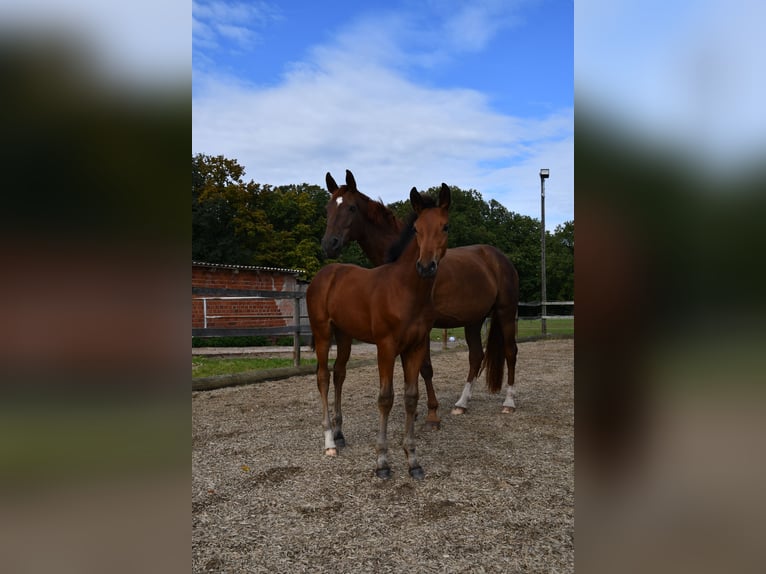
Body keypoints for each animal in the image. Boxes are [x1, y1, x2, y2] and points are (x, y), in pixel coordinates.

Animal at [306, 186, 450, 482]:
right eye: (416, 229)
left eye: (445, 226)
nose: (426, 266)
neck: (405, 289)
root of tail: (325, 272)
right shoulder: (386, 347)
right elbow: (385, 399)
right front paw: (382, 462)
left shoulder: (415, 347)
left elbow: (410, 397)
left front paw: (413, 461)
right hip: (323, 333)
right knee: (323, 376)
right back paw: (329, 441)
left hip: (345, 336)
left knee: (339, 373)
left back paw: (339, 434)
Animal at [320, 169, 520, 426]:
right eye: (328, 208)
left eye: (352, 208)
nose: (329, 244)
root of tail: (498, 257)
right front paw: (417, 412)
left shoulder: (423, 327)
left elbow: (425, 367)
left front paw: (431, 412)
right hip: (473, 320)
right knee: (476, 356)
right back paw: (462, 404)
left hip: (506, 312)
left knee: (510, 352)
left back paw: (508, 403)